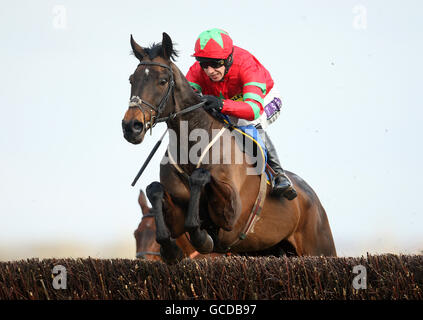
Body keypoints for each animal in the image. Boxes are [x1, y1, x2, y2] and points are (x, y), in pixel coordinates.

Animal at [122, 31, 338, 264]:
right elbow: (155, 190)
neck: (192, 147)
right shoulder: (177, 215)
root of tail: (312, 196)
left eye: (162, 81)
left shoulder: (231, 214)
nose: (131, 126)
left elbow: (201, 180)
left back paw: (282, 181)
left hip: (320, 246)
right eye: (132, 80)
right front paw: (171, 249)